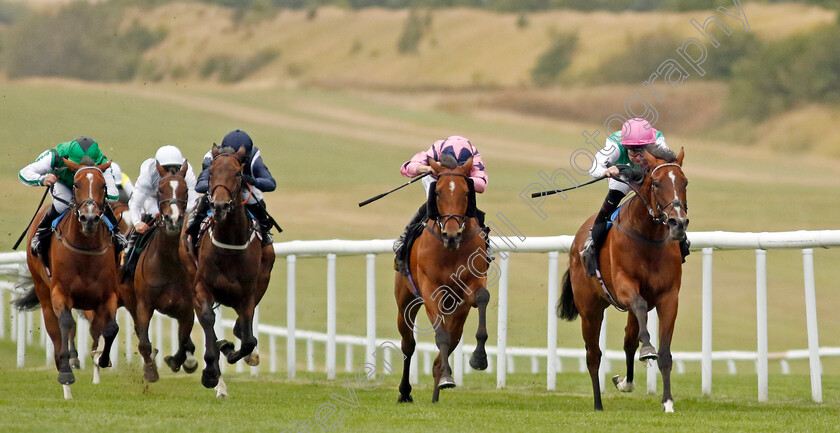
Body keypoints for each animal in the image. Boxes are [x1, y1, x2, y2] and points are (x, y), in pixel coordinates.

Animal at [13, 157, 119, 396]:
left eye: (103, 186)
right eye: (76, 185)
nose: (89, 218)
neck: (85, 249)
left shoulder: (108, 295)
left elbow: (111, 328)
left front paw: (103, 359)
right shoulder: (60, 293)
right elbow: (66, 324)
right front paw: (67, 370)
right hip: (43, 293)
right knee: (55, 329)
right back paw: (65, 374)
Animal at [184, 144, 276, 394]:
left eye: (237, 173)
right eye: (211, 172)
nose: (219, 206)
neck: (229, 244)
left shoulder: (247, 294)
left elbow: (248, 341)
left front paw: (232, 349)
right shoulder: (201, 287)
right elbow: (208, 320)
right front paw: (210, 372)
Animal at [396, 154, 492, 402]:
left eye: (466, 192)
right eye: (437, 192)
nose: (451, 234)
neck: (450, 250)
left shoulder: (470, 287)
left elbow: (482, 298)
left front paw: (479, 358)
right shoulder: (431, 289)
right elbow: (440, 336)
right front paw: (447, 376)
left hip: (457, 309)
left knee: (454, 336)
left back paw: (437, 386)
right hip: (405, 301)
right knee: (408, 345)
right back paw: (405, 392)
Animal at [556, 148, 688, 412]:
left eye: (685, 182)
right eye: (657, 183)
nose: (678, 223)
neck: (648, 237)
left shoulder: (668, 297)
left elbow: (663, 353)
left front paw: (667, 401)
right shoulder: (624, 287)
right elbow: (637, 308)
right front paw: (648, 349)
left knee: (628, 340)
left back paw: (625, 382)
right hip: (590, 309)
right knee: (593, 355)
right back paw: (598, 404)